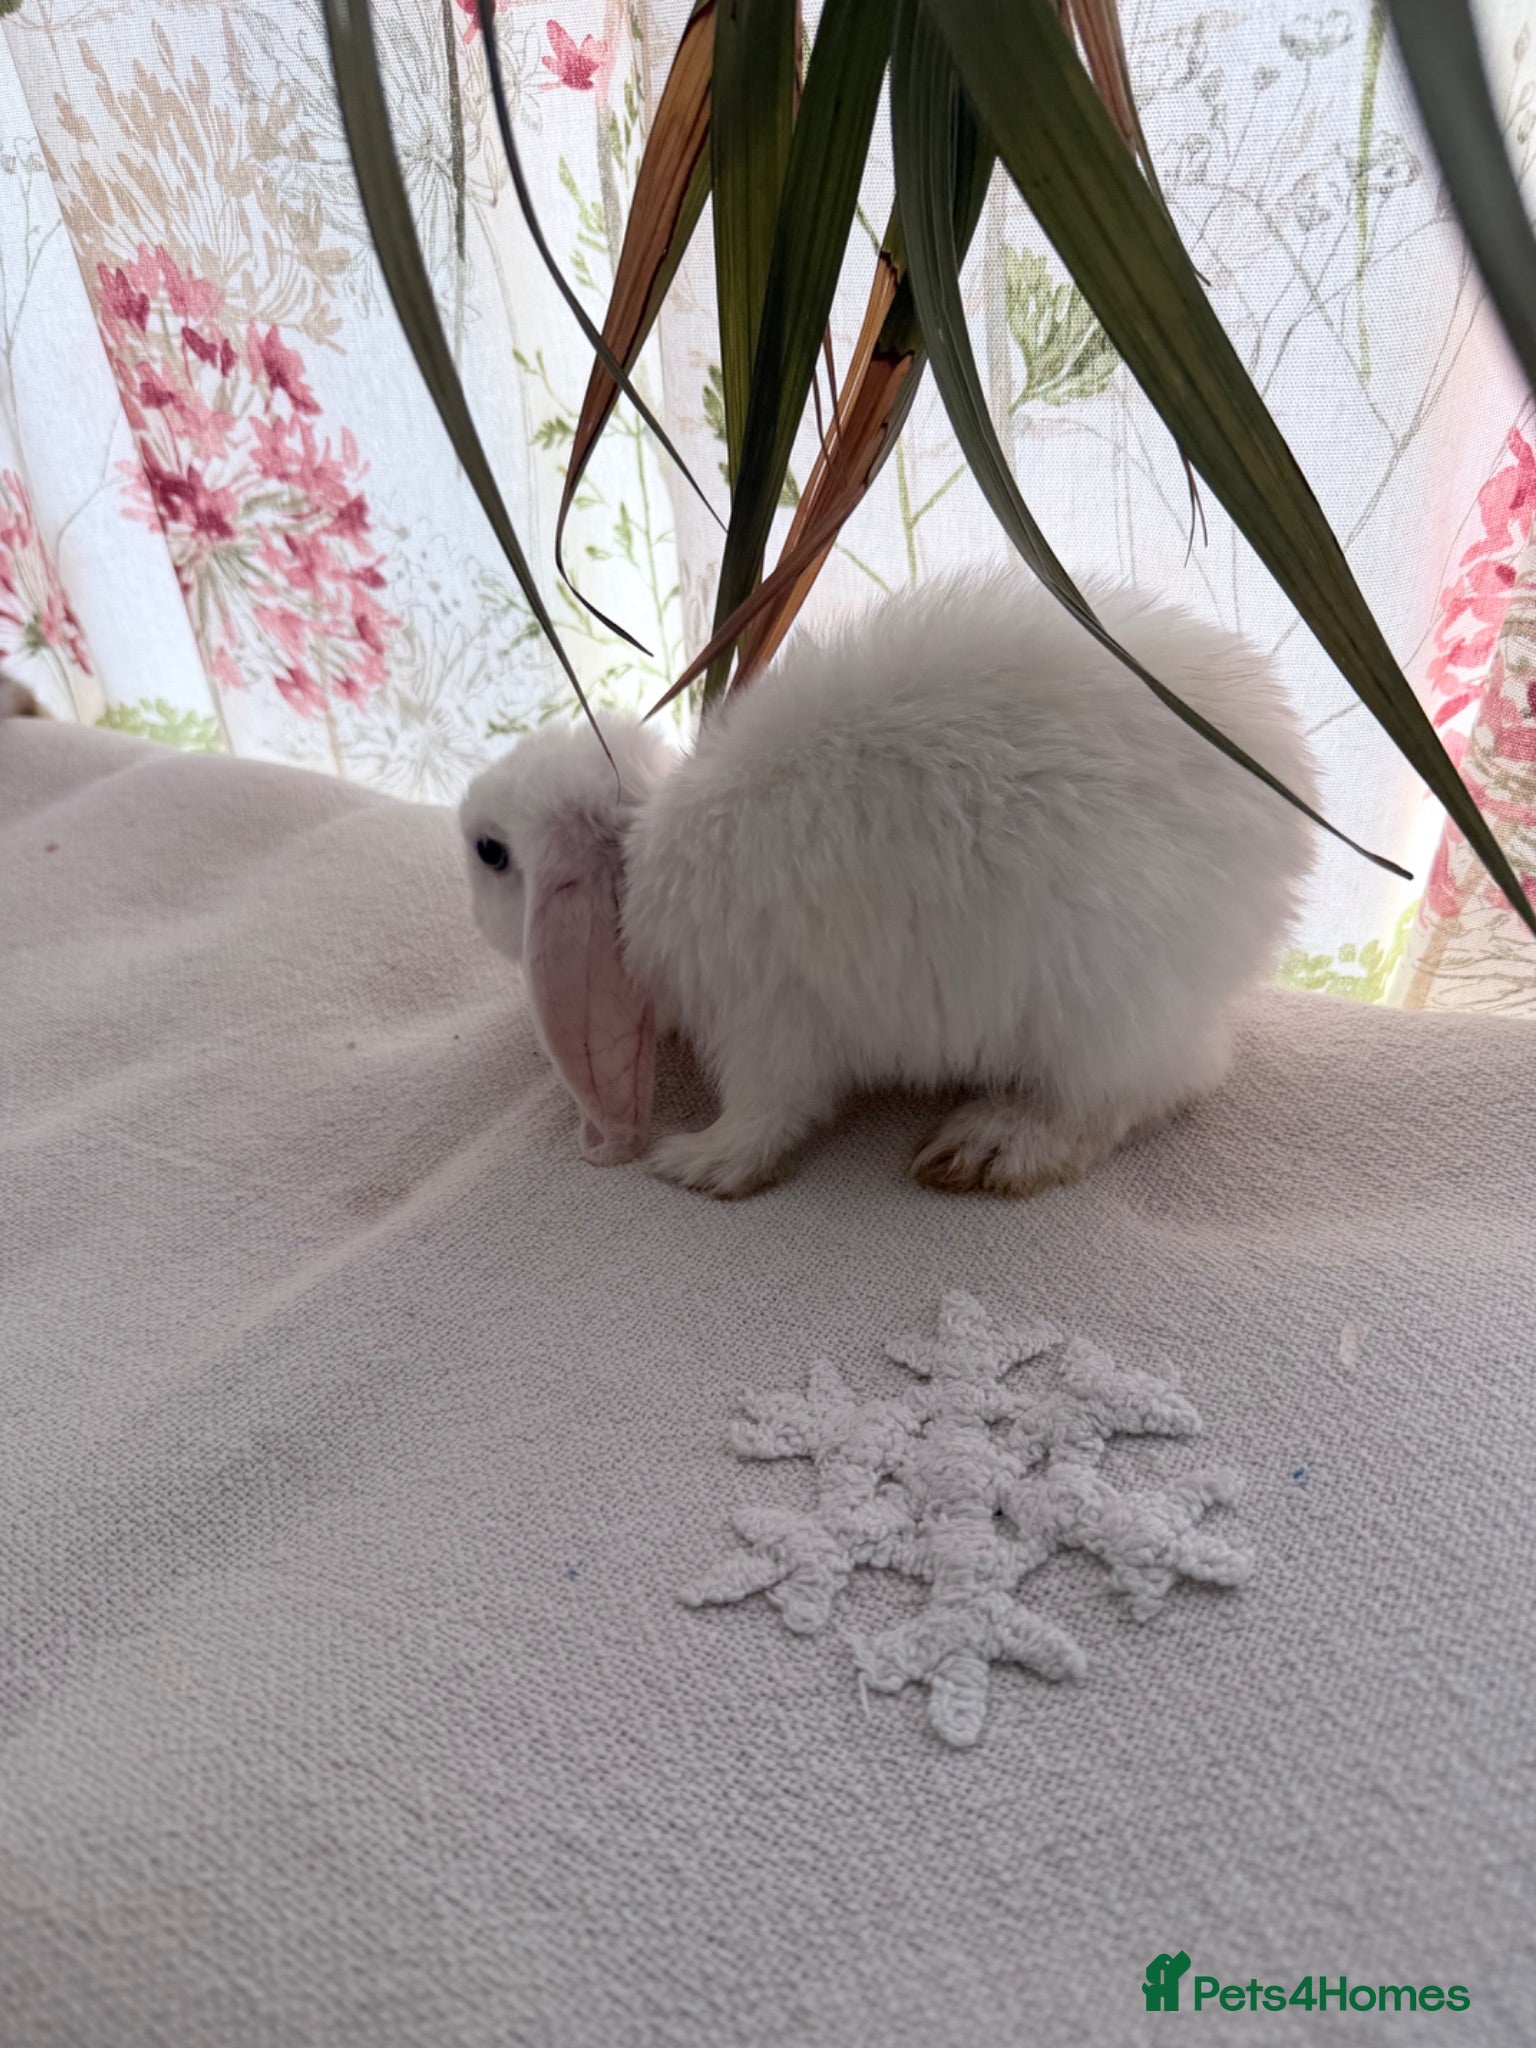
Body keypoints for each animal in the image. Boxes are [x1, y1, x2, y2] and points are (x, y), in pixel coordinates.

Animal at [460, 570, 1319, 1199]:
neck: (638, 864)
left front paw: (699, 1162)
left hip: (1101, 1002)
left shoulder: (763, 1018)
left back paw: (990, 1146)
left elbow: (769, 1113)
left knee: (1144, 1089)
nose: (464, 833)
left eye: (490, 852)